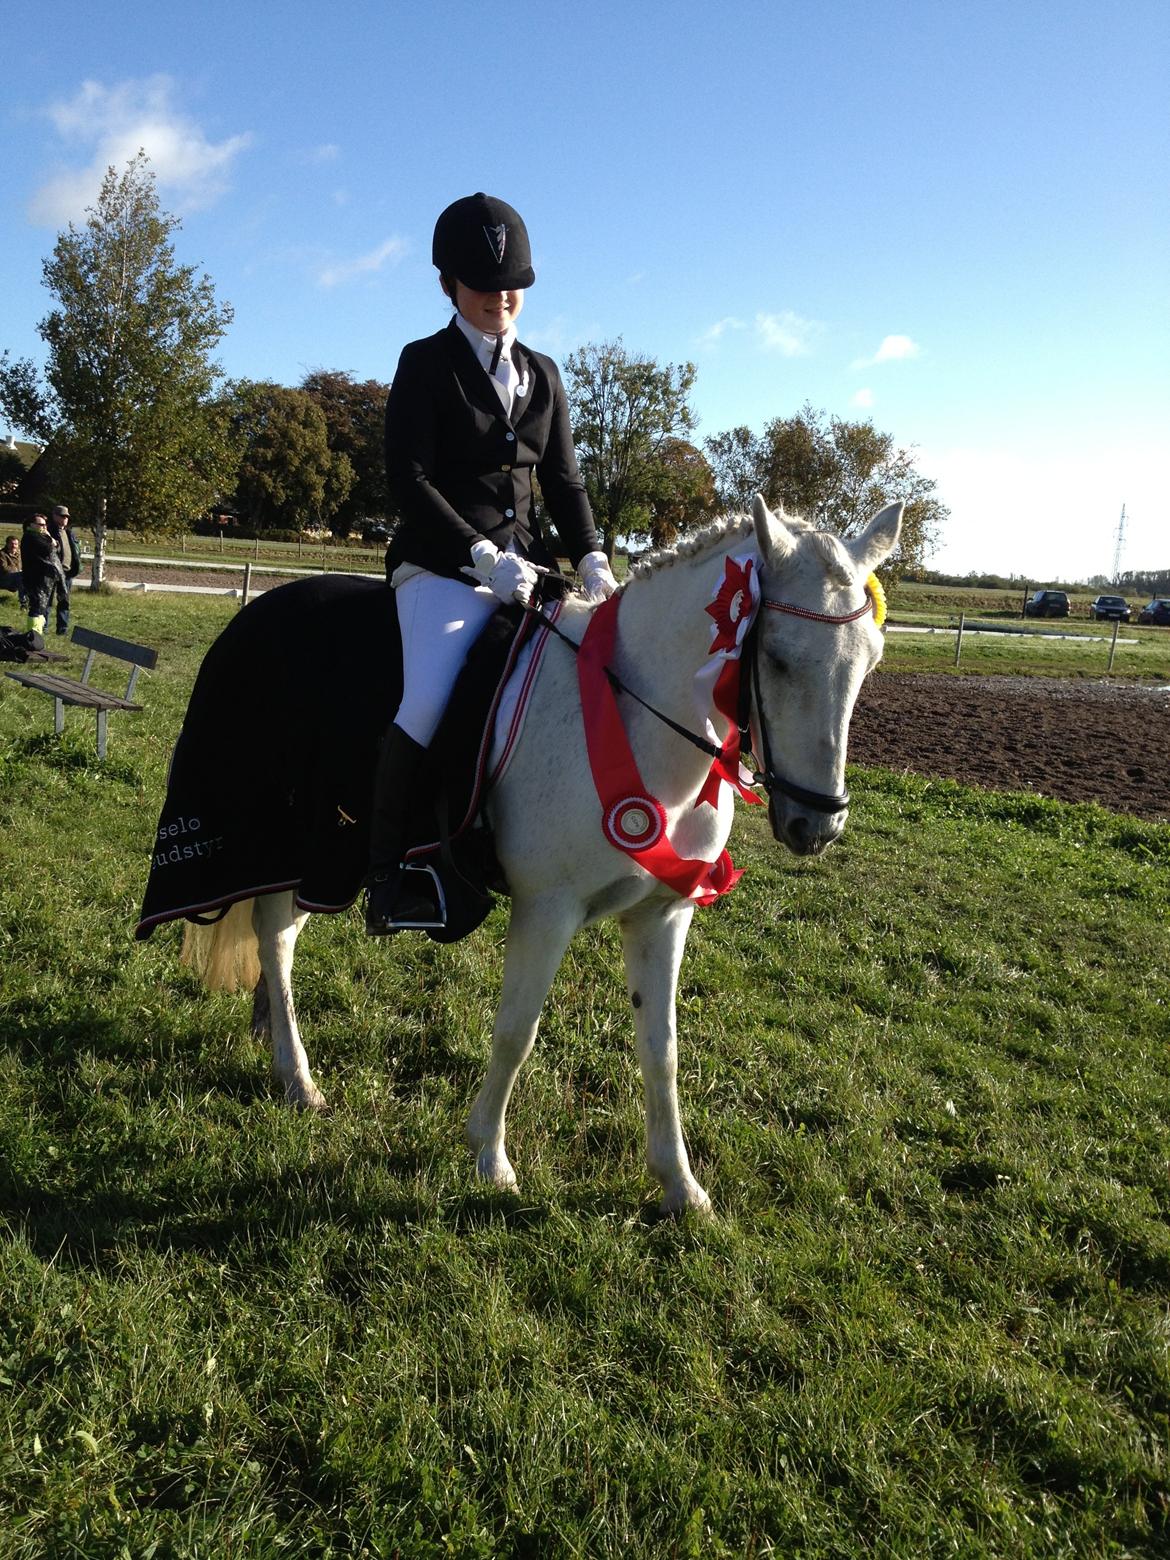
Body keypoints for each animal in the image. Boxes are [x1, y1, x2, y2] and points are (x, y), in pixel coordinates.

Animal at [183, 499, 904, 1216]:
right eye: (777, 659)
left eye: (871, 659)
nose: (817, 823)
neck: (636, 714)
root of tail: (260, 608)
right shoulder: (545, 908)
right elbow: (517, 1031)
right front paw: (490, 1158)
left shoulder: (663, 914)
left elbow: (662, 1050)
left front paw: (679, 1185)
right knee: (276, 936)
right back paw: (298, 1079)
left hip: (324, 854)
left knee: (280, 934)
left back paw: (273, 1040)